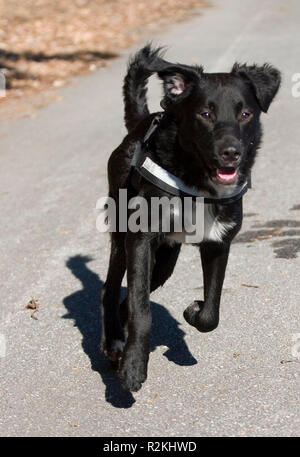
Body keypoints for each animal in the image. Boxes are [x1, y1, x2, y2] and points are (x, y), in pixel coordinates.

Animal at [101, 44, 282, 390]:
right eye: (206, 114)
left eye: (245, 114)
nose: (231, 152)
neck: (196, 183)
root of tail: (141, 124)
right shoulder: (140, 239)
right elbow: (142, 310)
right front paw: (133, 366)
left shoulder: (218, 243)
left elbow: (211, 312)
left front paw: (194, 311)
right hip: (122, 238)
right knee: (111, 290)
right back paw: (115, 342)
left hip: (165, 260)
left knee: (128, 297)